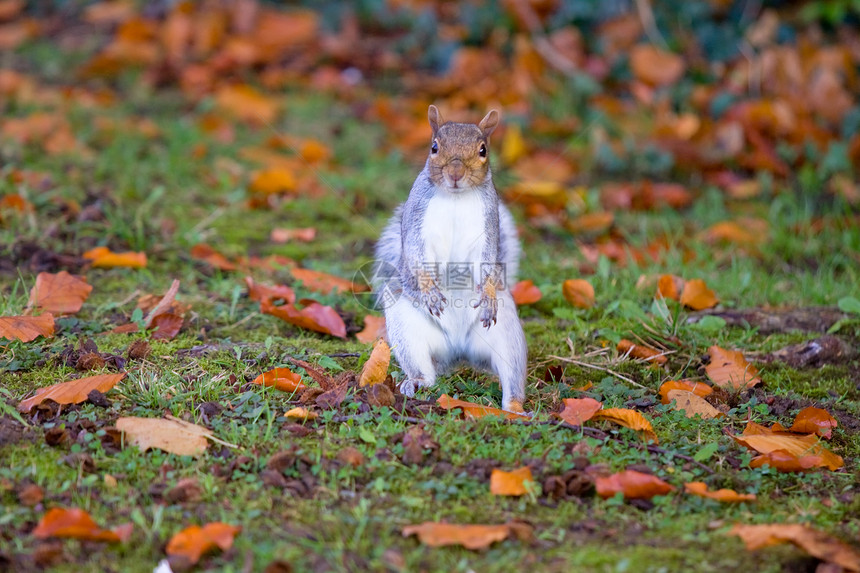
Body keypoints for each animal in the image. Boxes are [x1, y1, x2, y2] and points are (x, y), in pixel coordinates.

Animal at [378, 106, 532, 412]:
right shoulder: (416, 220)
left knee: (511, 377)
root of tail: (459, 350)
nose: (456, 172)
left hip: (508, 334)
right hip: (406, 327)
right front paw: (430, 291)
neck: (456, 197)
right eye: (434, 147)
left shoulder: (488, 225)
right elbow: (416, 254)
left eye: (483, 150)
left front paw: (487, 294)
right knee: (425, 373)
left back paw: (515, 408)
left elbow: (487, 261)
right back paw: (415, 382)